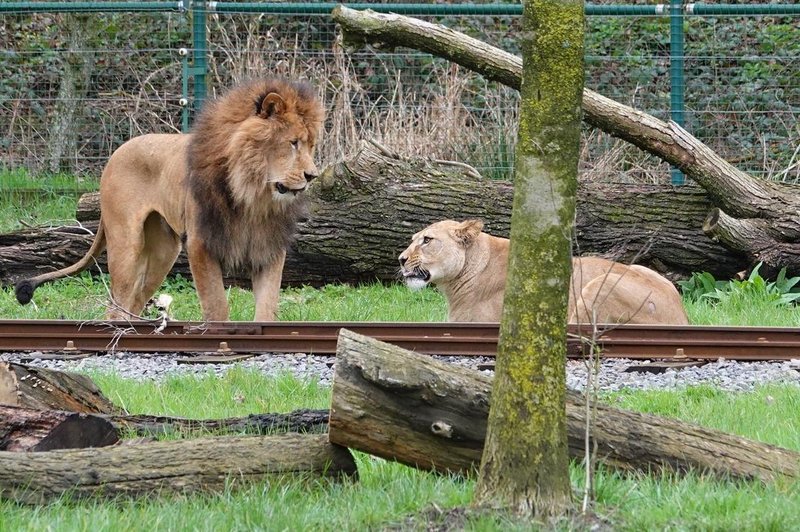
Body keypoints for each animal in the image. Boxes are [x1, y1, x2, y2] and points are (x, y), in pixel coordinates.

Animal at [14, 77, 324, 322]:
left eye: (311, 145)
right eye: (293, 143)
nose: (312, 175)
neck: (253, 195)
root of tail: (116, 152)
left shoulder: (268, 247)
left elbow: (268, 307)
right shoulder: (201, 243)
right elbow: (216, 305)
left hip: (163, 252)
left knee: (135, 302)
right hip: (126, 244)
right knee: (116, 304)